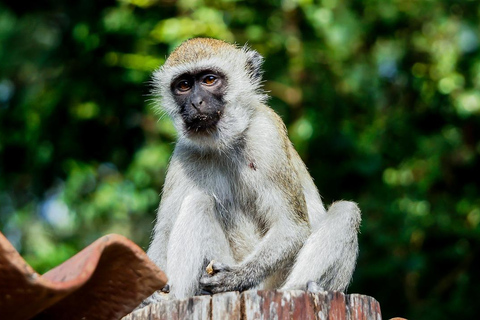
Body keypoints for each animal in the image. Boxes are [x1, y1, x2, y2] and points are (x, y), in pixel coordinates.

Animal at [145, 37, 360, 300]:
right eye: (184, 85)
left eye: (209, 80)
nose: (195, 103)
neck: (225, 143)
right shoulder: (183, 154)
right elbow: (164, 235)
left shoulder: (266, 135)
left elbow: (292, 227)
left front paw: (235, 277)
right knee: (197, 203)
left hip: (269, 282)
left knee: (346, 212)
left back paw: (303, 288)